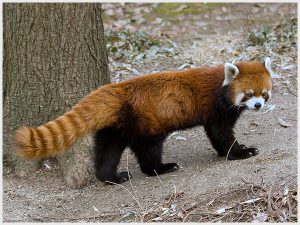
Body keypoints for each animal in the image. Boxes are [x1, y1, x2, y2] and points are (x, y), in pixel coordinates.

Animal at [14, 57, 276, 184]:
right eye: (248, 94)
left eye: (264, 93)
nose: (258, 106)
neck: (220, 88)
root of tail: (117, 89)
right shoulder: (215, 109)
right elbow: (221, 134)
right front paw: (240, 152)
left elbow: (217, 136)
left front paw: (228, 152)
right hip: (146, 123)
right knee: (148, 149)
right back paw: (160, 168)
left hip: (116, 126)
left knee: (108, 150)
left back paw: (111, 177)